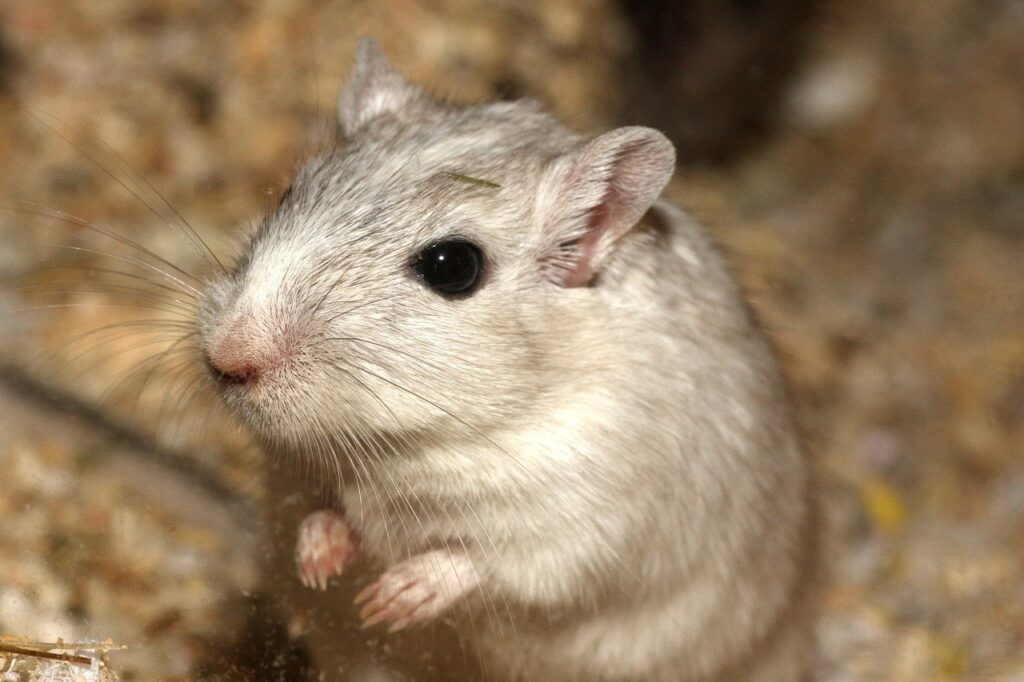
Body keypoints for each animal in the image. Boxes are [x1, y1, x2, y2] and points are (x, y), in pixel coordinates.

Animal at [198, 38, 817, 682]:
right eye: (291, 190)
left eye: (452, 267)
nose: (225, 359)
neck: (412, 444)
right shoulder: (294, 475)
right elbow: (317, 510)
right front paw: (318, 563)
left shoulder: (582, 526)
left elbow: (484, 562)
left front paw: (394, 599)